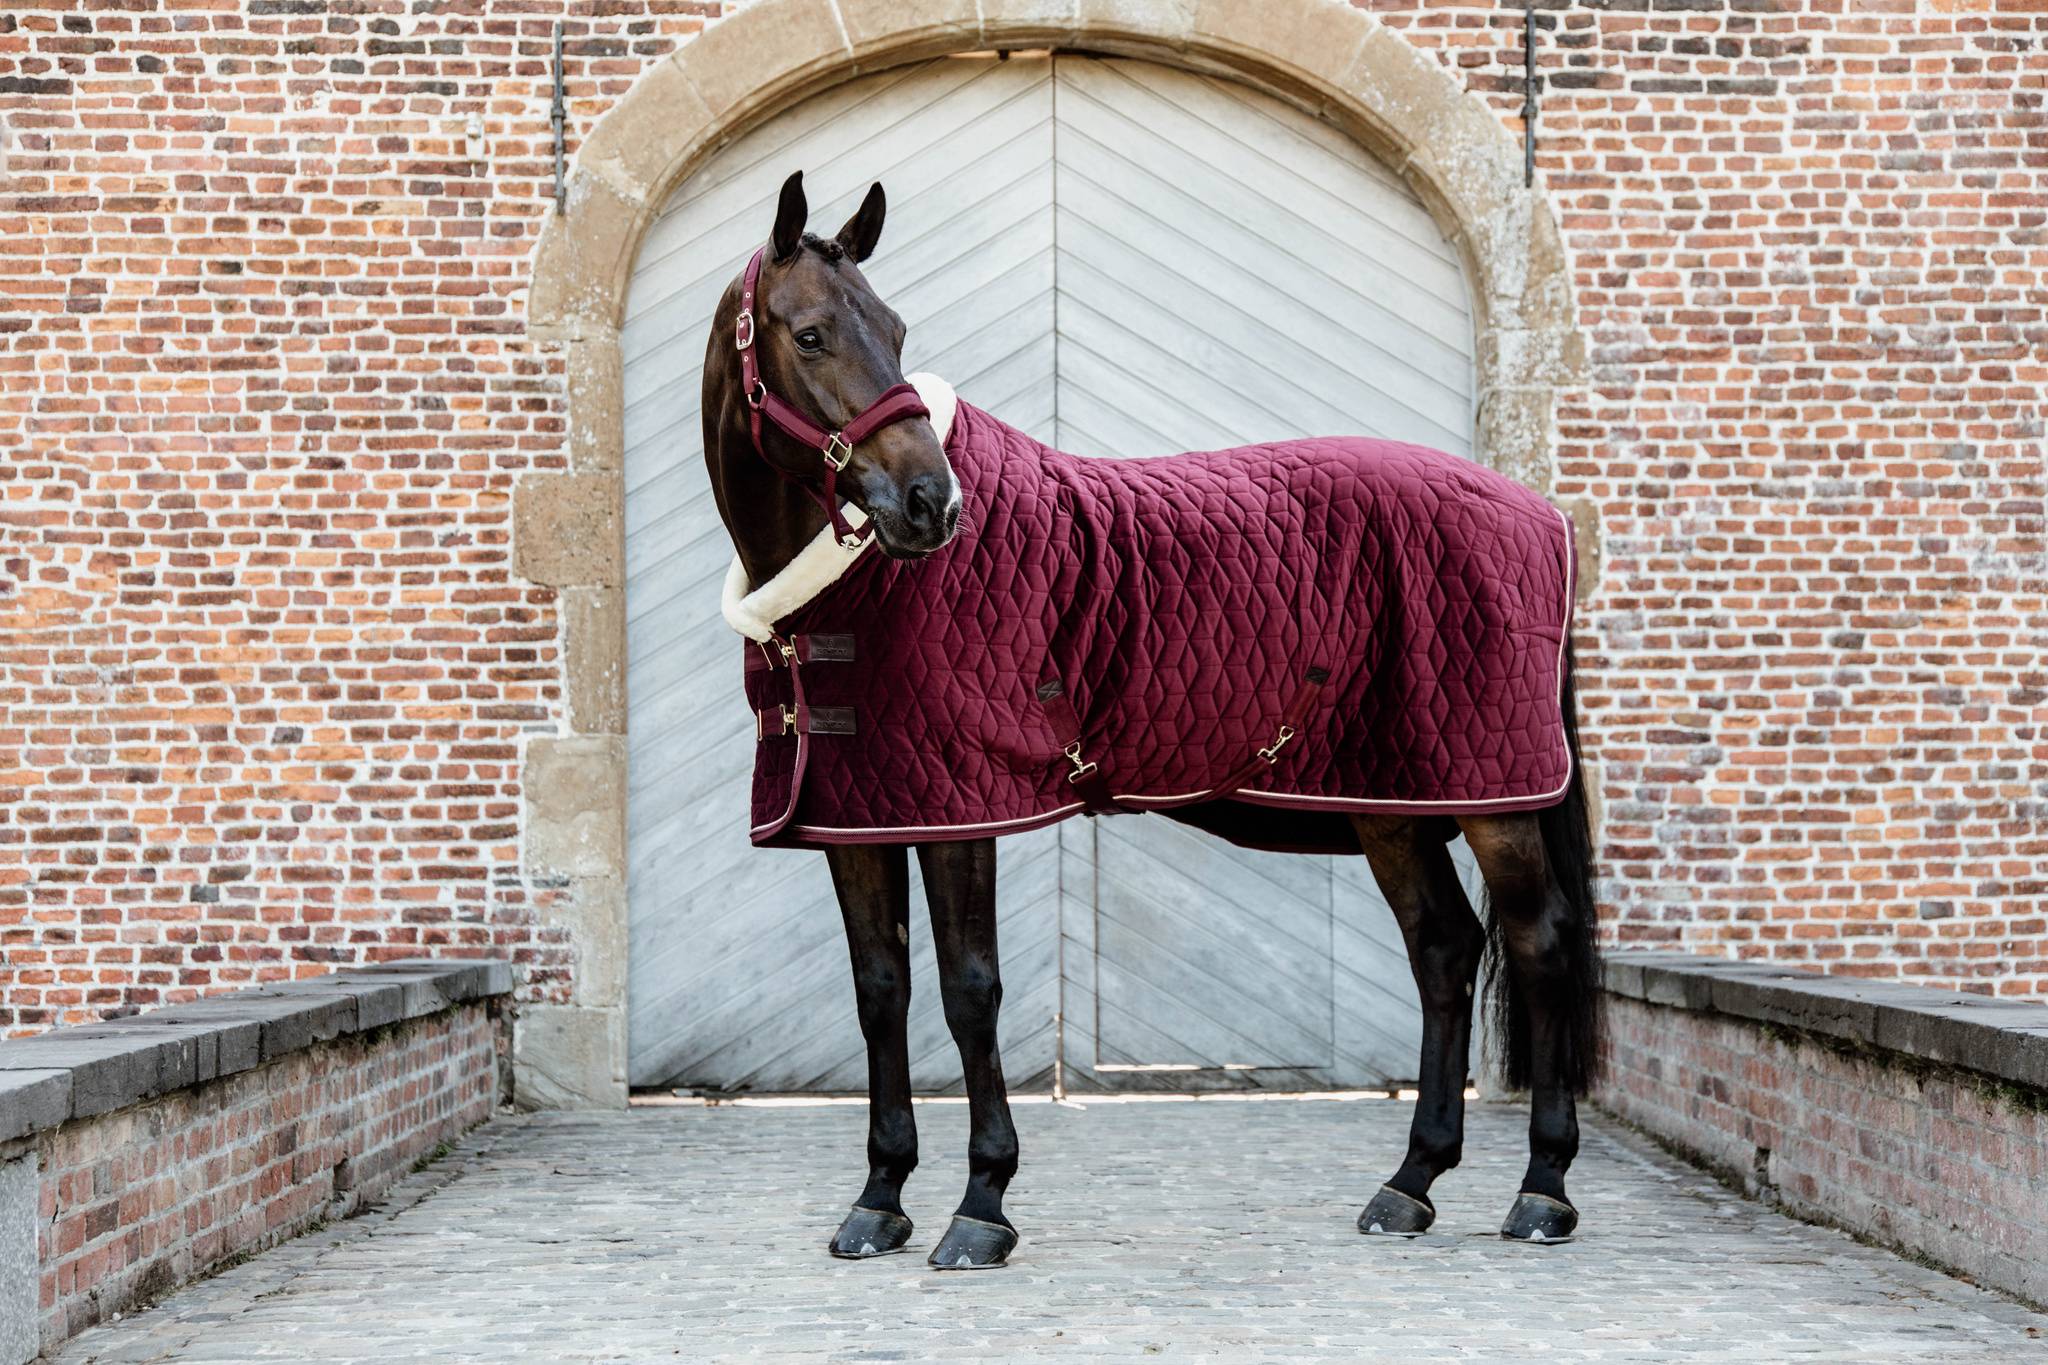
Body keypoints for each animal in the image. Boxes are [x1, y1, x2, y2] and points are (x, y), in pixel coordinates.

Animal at [696, 170, 1605, 1268]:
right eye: (813, 334)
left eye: (899, 330)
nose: (930, 505)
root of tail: (1540, 512)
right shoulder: (859, 812)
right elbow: (881, 991)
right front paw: (878, 1198)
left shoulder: (961, 809)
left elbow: (968, 989)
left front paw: (981, 1206)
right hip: (1392, 795)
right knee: (1442, 946)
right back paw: (1409, 1183)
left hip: (1493, 795)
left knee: (1538, 942)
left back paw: (1544, 1190)